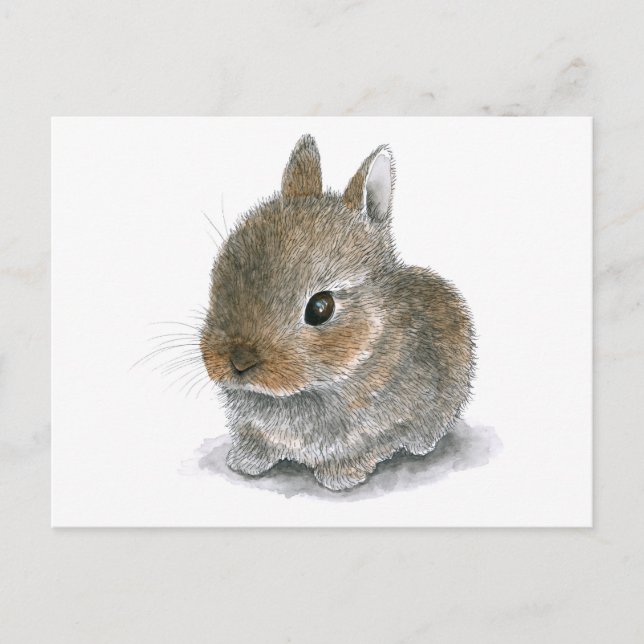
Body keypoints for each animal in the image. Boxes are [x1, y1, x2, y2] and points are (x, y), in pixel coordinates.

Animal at [200, 134, 475, 491]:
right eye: (222, 272)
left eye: (320, 308)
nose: (238, 361)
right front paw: (245, 463)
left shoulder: (384, 428)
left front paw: (340, 478)